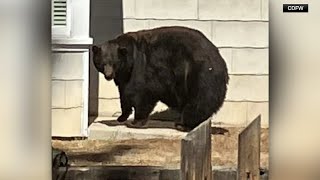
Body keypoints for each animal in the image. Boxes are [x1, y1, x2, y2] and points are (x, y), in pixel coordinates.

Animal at [91, 26, 229, 131]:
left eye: (114, 63)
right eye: (102, 63)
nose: (108, 75)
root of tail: (220, 59)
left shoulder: (143, 68)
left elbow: (142, 93)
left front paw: (135, 122)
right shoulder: (124, 77)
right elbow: (124, 94)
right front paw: (121, 117)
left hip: (198, 74)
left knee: (198, 100)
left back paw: (183, 124)